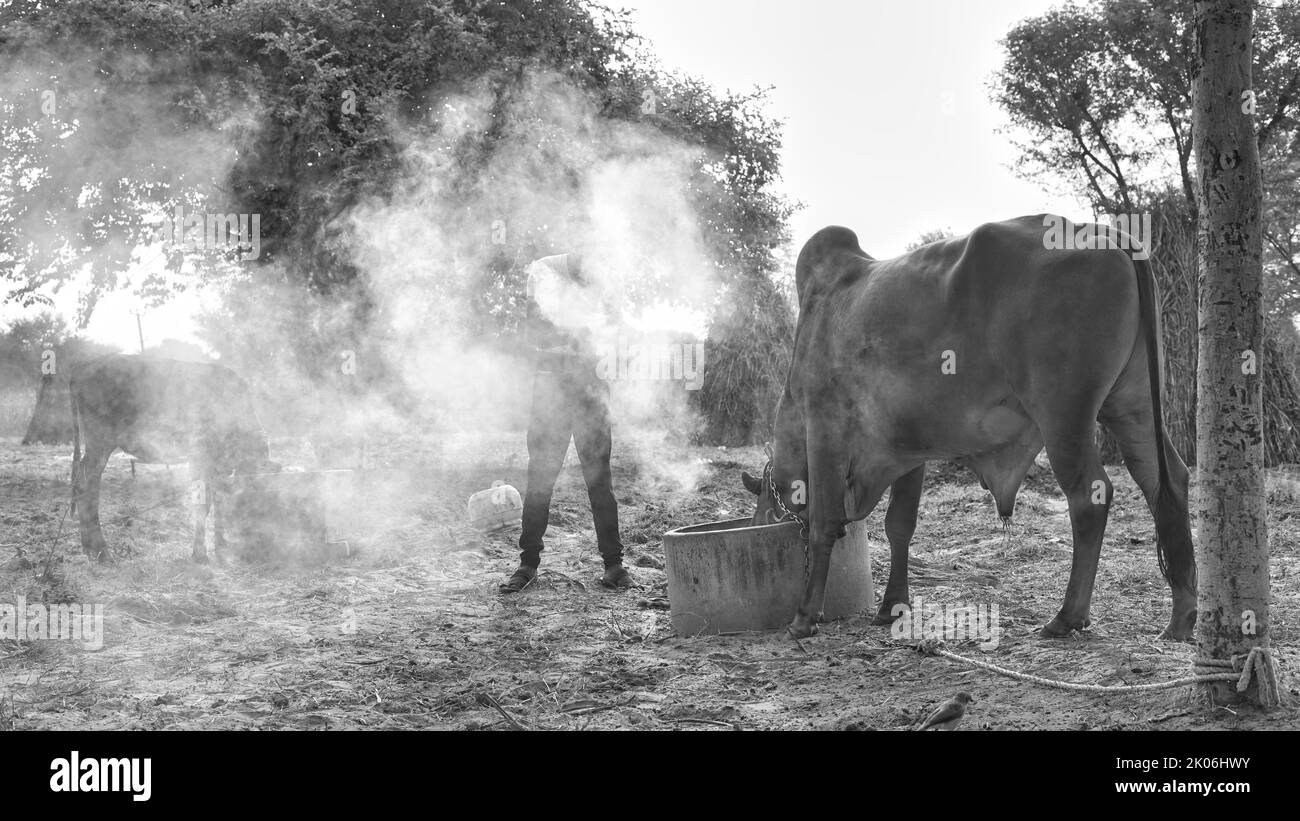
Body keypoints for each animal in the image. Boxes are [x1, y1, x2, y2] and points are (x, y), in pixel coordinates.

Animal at [69, 353, 278, 563]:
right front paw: (200, 554)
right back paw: (102, 551)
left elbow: (217, 501)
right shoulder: (199, 455)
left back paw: (88, 547)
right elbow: (203, 503)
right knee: (87, 485)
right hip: (100, 440)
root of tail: (85, 365)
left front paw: (221, 544)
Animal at [743, 216, 1196, 641]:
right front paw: (891, 607)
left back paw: (1068, 616)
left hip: (1064, 417)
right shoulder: (907, 449)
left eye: (766, 509)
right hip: (1134, 406)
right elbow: (899, 525)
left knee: (1090, 497)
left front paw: (804, 617)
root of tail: (1107, 234)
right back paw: (1181, 618)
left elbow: (824, 522)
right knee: (1166, 481)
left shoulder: (826, 428)